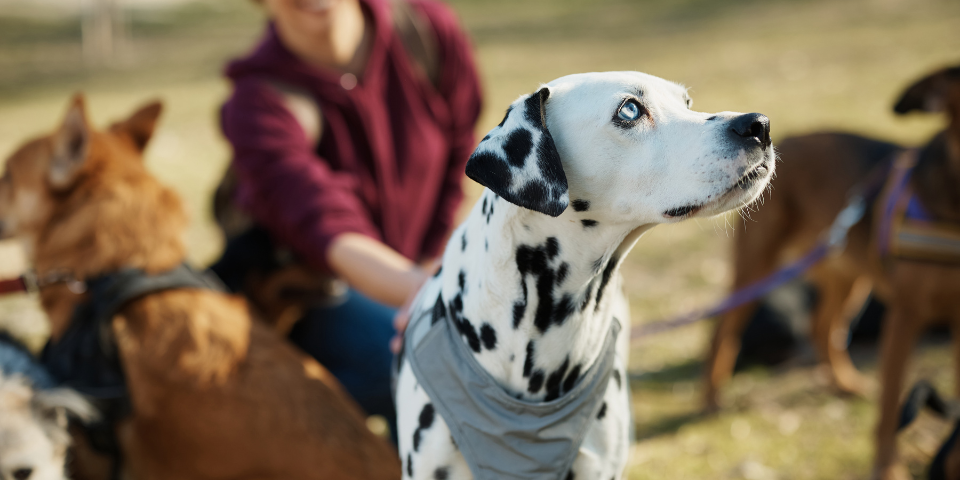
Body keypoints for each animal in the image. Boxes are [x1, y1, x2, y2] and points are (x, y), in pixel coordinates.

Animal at [700, 64, 960, 480]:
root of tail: (788, 137)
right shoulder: (904, 316)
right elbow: (890, 408)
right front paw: (887, 468)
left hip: (849, 277)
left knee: (822, 328)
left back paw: (844, 384)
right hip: (757, 270)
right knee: (723, 331)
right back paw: (711, 398)